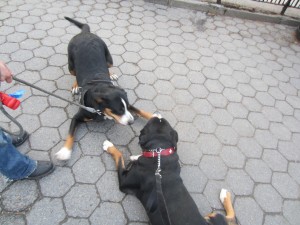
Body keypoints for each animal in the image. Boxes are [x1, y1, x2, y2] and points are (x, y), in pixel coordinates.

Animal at [56, 17, 154, 160]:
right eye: (118, 110)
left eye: (125, 108)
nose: (131, 122)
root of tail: (85, 33)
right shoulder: (77, 117)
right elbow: (70, 134)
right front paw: (65, 151)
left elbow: (138, 109)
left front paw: (153, 115)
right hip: (71, 66)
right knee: (74, 74)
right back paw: (75, 85)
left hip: (108, 58)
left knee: (109, 66)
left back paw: (111, 74)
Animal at [103, 114, 237, 225]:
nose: (158, 114)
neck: (160, 151)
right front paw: (135, 156)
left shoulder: (125, 181)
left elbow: (119, 156)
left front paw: (109, 146)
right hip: (212, 216)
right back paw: (225, 196)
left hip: (213, 217)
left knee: (230, 218)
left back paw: (224, 195)